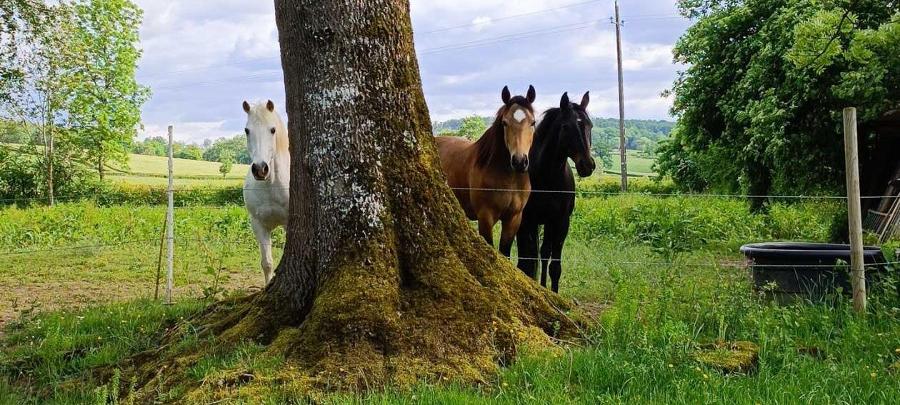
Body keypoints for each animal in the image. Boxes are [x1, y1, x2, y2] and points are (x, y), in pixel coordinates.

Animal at [434, 85, 536, 256]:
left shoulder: (513, 218)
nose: (519, 162)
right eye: (505, 123)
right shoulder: (485, 217)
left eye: (533, 122)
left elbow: (504, 251)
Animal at [512, 93, 596, 292]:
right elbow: (529, 260)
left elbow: (554, 266)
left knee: (544, 253)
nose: (587, 165)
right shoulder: (528, 221)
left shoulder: (560, 222)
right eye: (566, 126)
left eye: (590, 125)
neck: (547, 177)